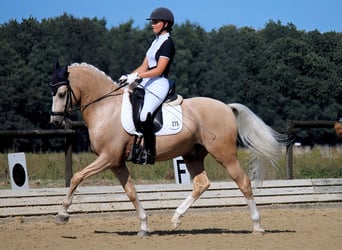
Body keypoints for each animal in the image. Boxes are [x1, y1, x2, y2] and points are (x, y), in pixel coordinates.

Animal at [49, 59, 282, 235]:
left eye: (61, 94)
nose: (55, 122)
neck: (105, 109)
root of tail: (226, 107)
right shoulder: (116, 163)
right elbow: (131, 191)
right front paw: (144, 226)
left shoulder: (107, 158)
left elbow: (77, 177)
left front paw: (62, 214)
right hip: (192, 155)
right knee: (201, 184)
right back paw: (176, 218)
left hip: (224, 154)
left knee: (243, 182)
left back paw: (257, 226)